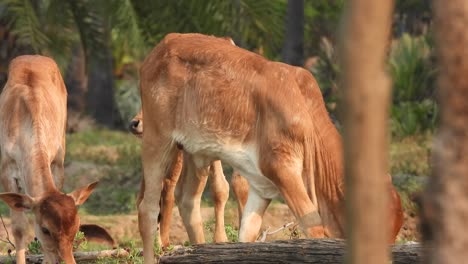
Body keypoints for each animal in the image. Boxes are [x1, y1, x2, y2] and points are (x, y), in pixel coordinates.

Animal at [0, 55, 108, 264]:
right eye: (46, 229)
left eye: (76, 227)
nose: (67, 260)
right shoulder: (6, 170)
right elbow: (19, 228)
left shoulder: (57, 164)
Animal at [137, 33, 404, 262]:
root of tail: (159, 49)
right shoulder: (283, 171)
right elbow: (314, 230)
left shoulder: (261, 187)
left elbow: (247, 237)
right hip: (157, 141)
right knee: (147, 209)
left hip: (197, 154)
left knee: (188, 202)